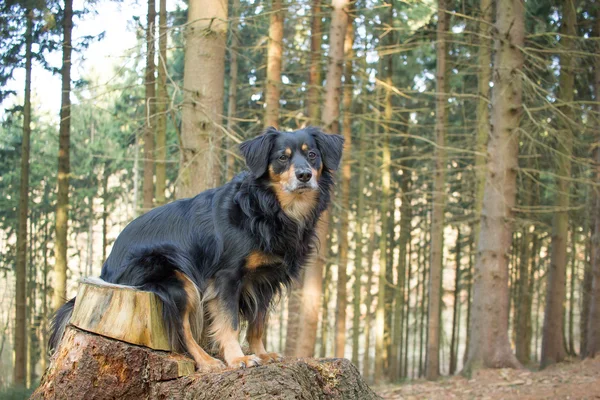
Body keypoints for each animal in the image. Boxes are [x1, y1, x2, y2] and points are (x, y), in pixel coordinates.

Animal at [48, 126, 342, 370]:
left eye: (313, 155)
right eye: (282, 157)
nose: (304, 175)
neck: (268, 207)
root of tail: (106, 272)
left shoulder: (265, 281)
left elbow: (258, 323)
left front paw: (262, 352)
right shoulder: (226, 277)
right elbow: (229, 322)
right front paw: (239, 358)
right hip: (178, 278)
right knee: (182, 330)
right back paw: (207, 361)